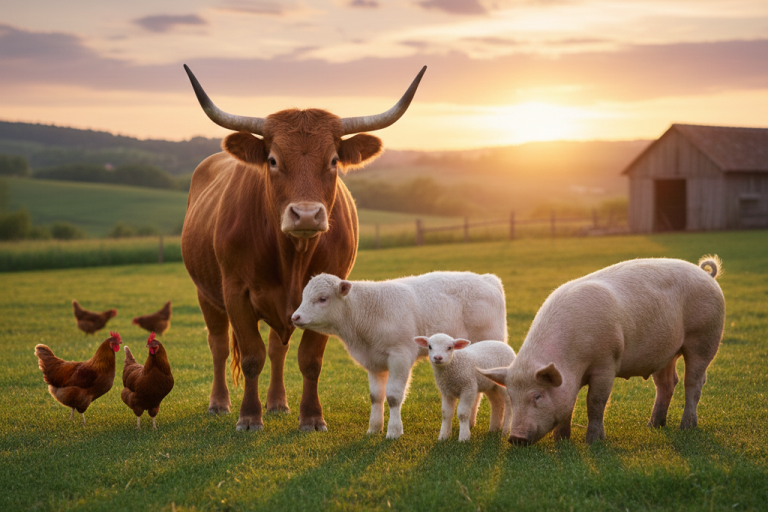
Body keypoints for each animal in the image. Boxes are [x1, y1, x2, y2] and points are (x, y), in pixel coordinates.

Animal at [181, 64, 426, 432]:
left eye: (334, 160)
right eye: (272, 160)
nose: (307, 214)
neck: (292, 255)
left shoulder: (331, 293)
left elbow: (309, 359)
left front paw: (310, 417)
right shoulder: (235, 291)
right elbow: (250, 356)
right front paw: (249, 417)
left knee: (276, 349)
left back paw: (278, 403)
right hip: (206, 295)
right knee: (219, 345)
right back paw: (220, 403)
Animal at [479, 256, 725, 445]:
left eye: (537, 395)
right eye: (512, 397)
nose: (515, 438)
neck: (572, 361)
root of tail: (708, 276)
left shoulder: (606, 361)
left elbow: (595, 401)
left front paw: (594, 441)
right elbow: (569, 404)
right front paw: (561, 440)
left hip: (705, 336)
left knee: (693, 382)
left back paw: (686, 427)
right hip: (665, 353)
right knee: (667, 383)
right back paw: (653, 426)